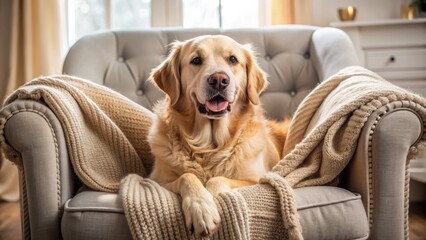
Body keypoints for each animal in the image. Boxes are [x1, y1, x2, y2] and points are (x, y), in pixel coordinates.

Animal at [146, 34, 290, 237]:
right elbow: (187, 176)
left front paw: (210, 201)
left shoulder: (256, 179)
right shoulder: (155, 181)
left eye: (233, 59)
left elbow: (217, 179)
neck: (210, 145)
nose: (219, 80)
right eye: (196, 60)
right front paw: (201, 208)